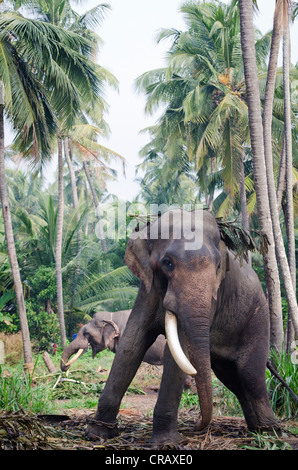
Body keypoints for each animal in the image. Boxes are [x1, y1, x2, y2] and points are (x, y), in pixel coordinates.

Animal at [85, 210, 280, 444]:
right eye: (168, 263)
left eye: (217, 267)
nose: (197, 425)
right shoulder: (147, 290)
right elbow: (132, 344)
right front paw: (97, 434)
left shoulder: (213, 295)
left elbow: (178, 352)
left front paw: (165, 444)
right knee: (232, 377)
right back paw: (256, 429)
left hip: (257, 320)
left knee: (250, 374)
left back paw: (270, 432)